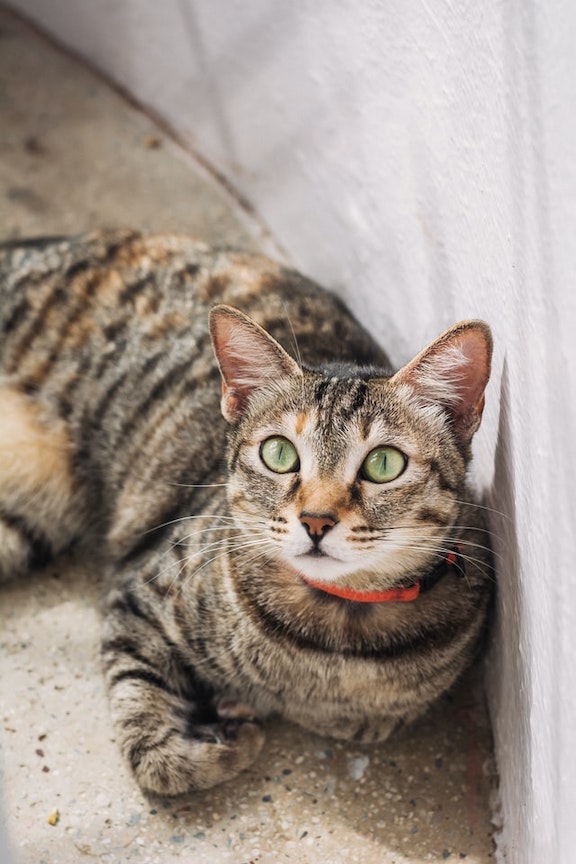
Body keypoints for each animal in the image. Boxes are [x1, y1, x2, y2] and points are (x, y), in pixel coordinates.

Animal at [1, 230, 496, 796]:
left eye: (383, 463)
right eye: (279, 453)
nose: (316, 520)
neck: (332, 640)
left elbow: (359, 718)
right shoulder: (138, 594)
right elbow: (152, 743)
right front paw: (222, 737)